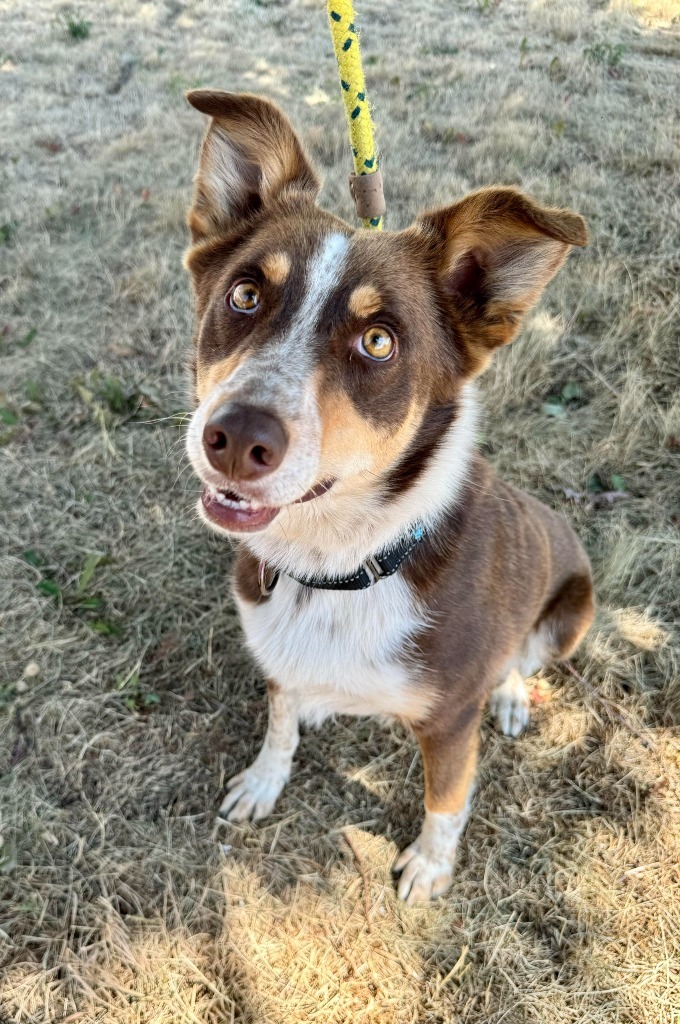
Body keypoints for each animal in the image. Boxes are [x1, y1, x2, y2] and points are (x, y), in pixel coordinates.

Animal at [183, 90, 593, 905]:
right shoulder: (277, 655)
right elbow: (279, 721)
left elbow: (447, 797)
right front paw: (264, 780)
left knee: (523, 661)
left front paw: (430, 868)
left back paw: (511, 696)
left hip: (572, 612)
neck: (338, 567)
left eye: (379, 342)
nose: (236, 438)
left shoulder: (449, 722)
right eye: (245, 293)